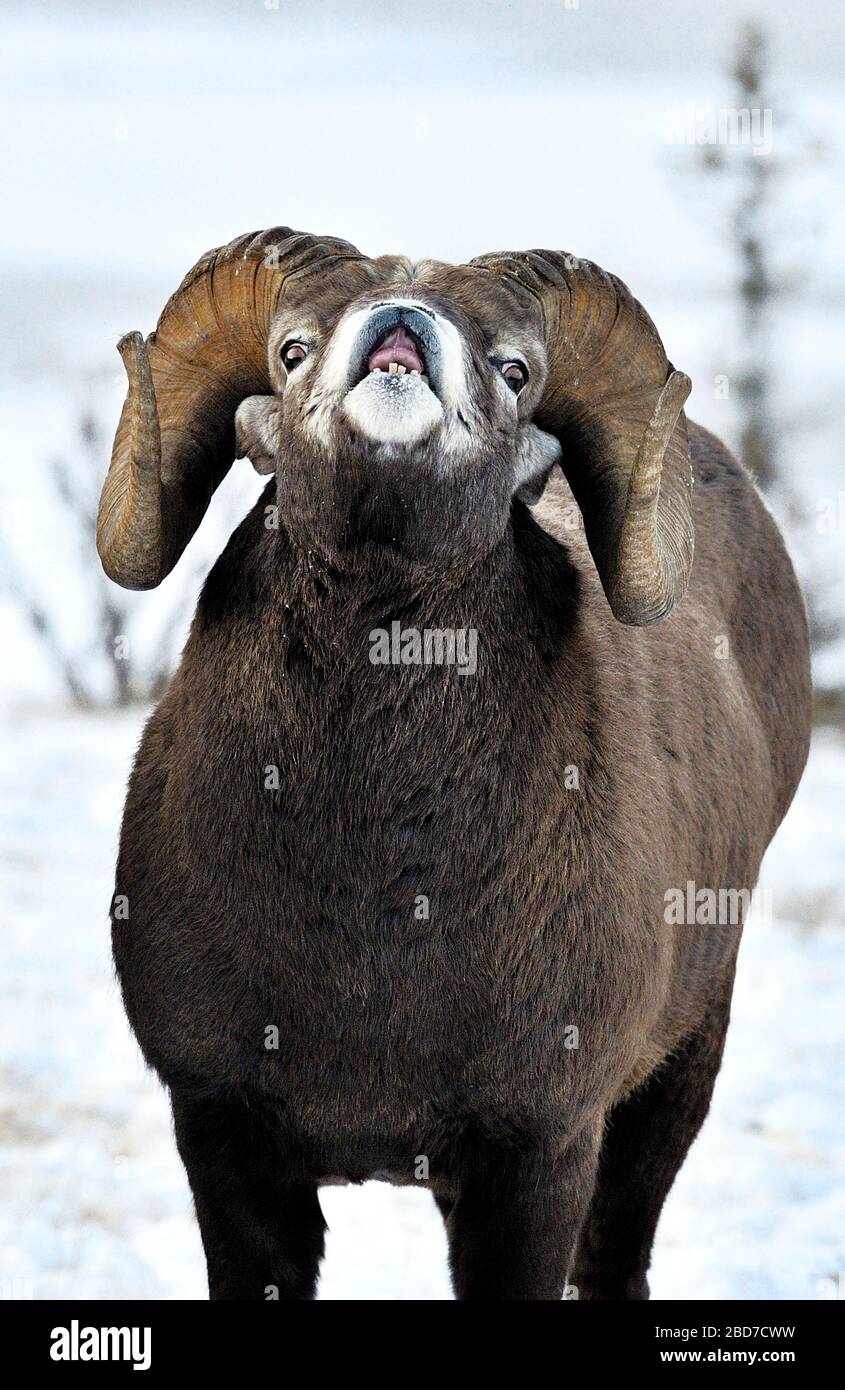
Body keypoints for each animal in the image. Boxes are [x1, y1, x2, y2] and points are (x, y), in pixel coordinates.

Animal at [99, 228, 812, 1300]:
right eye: (291, 350)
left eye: (514, 370)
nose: (399, 331)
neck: (379, 904)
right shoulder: (225, 1141)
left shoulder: (540, 1154)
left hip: (677, 1074)